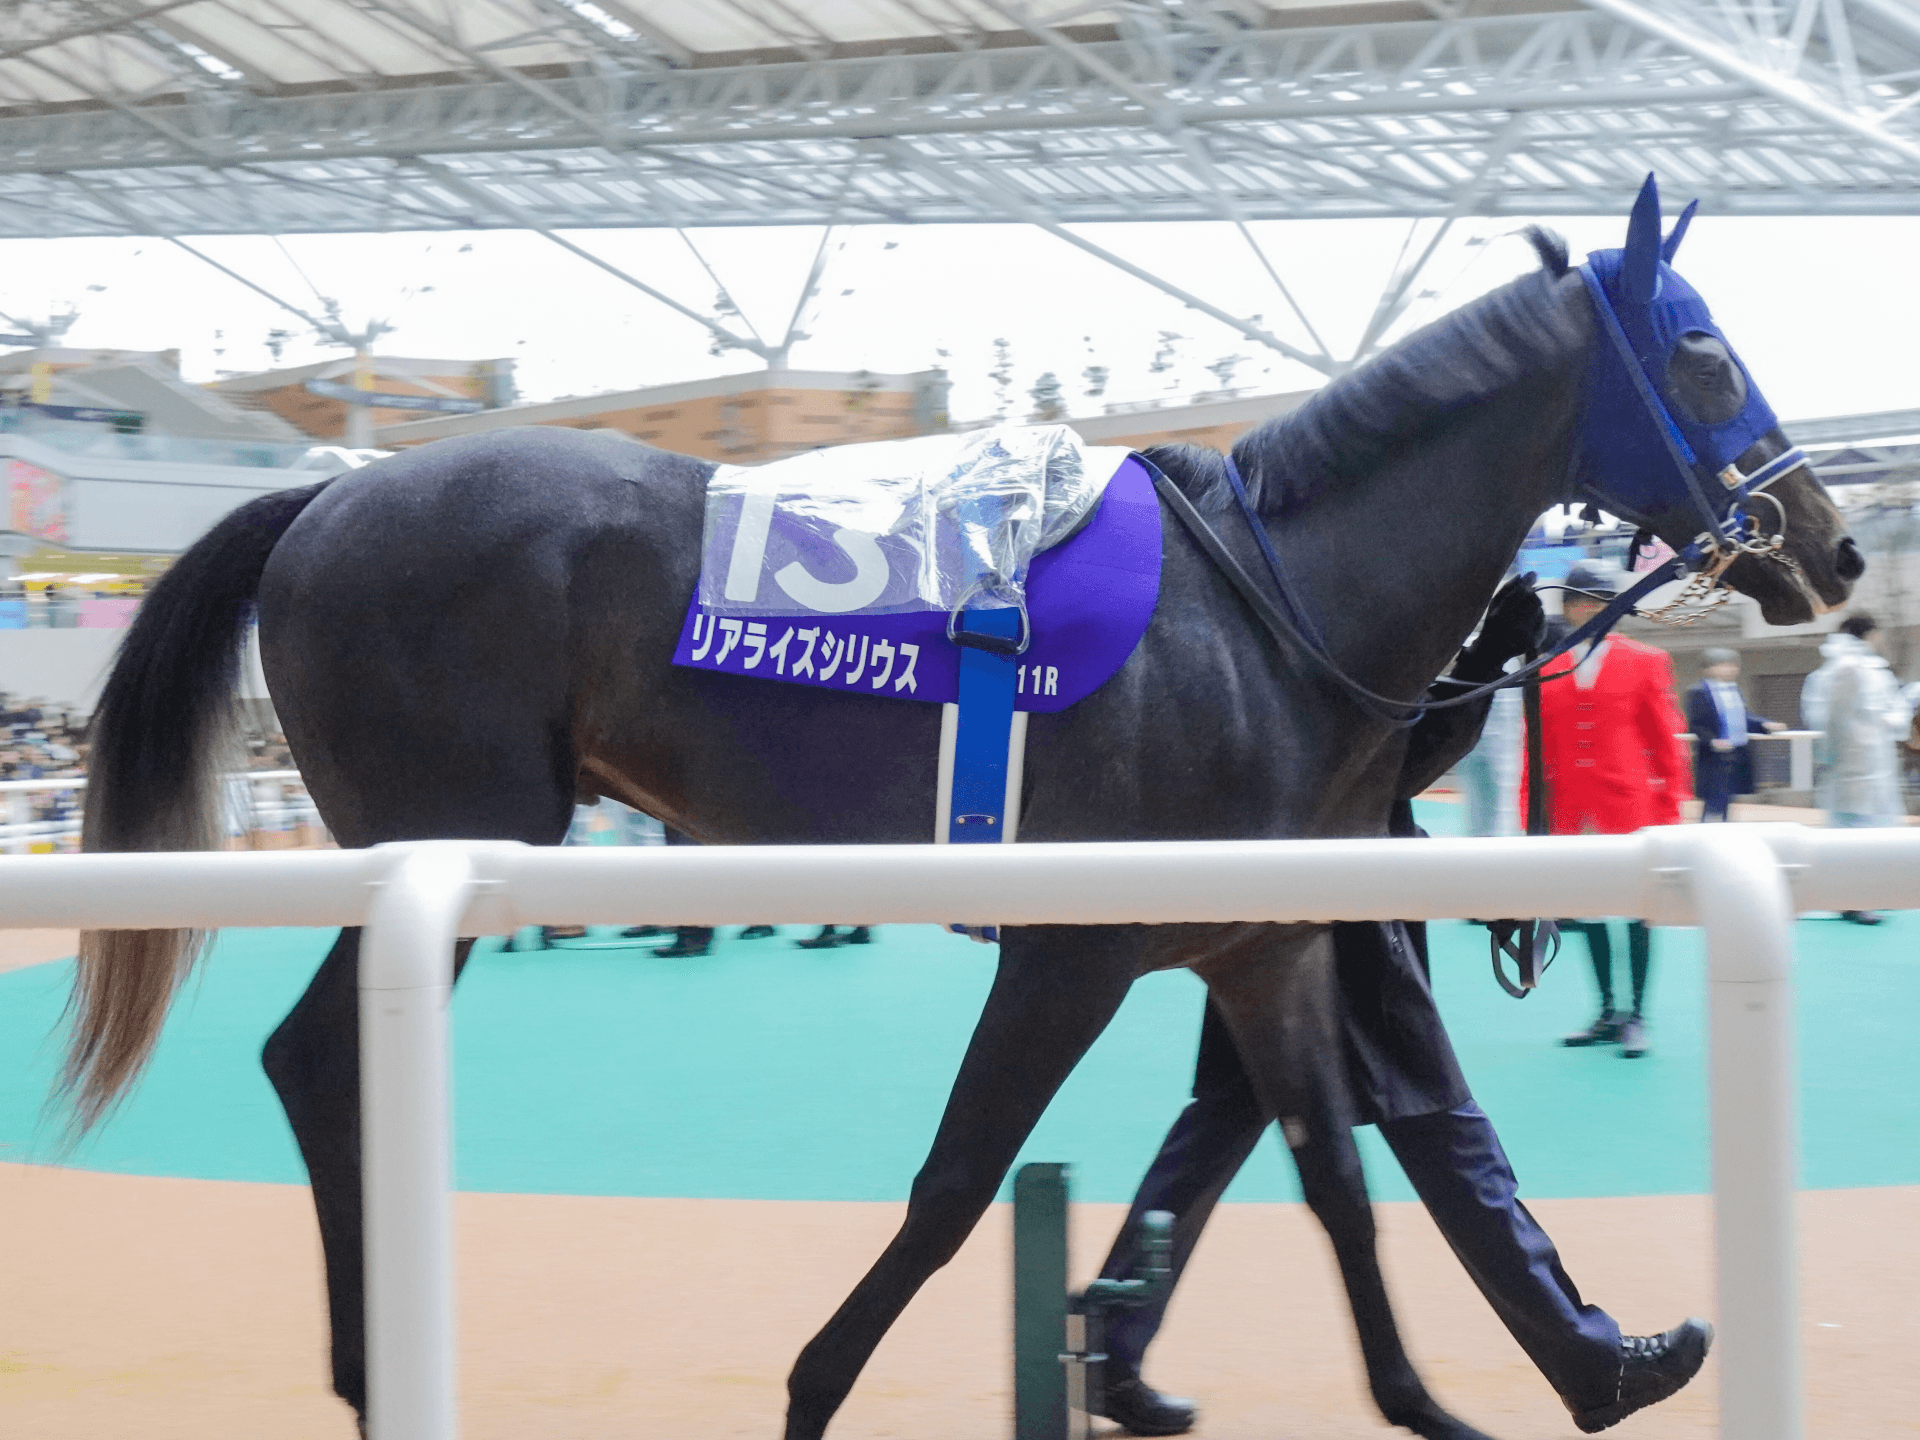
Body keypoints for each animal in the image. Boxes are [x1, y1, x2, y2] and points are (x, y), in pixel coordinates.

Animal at [62, 210, 1858, 1439]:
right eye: (1702, 350)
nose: (1830, 543)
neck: (1269, 614)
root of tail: (331, 491)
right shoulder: (1070, 954)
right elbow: (953, 1185)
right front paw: (812, 1389)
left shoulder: (1265, 949)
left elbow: (1340, 1178)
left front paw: (1460, 1396)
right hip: (451, 829)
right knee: (317, 1059)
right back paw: (376, 1364)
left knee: (318, 1061)